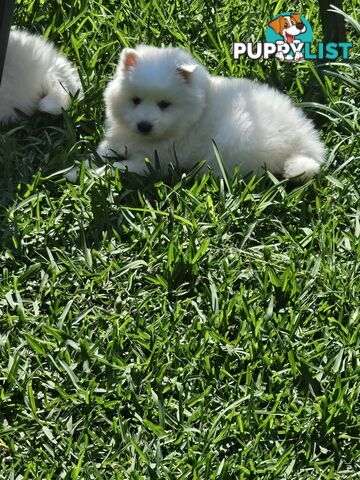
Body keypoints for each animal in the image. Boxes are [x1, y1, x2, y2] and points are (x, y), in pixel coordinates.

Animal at [97, 44, 324, 182]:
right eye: (135, 100)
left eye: (164, 104)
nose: (144, 125)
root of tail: (303, 138)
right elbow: (105, 151)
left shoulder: (155, 160)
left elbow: (120, 166)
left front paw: (92, 174)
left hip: (237, 136)